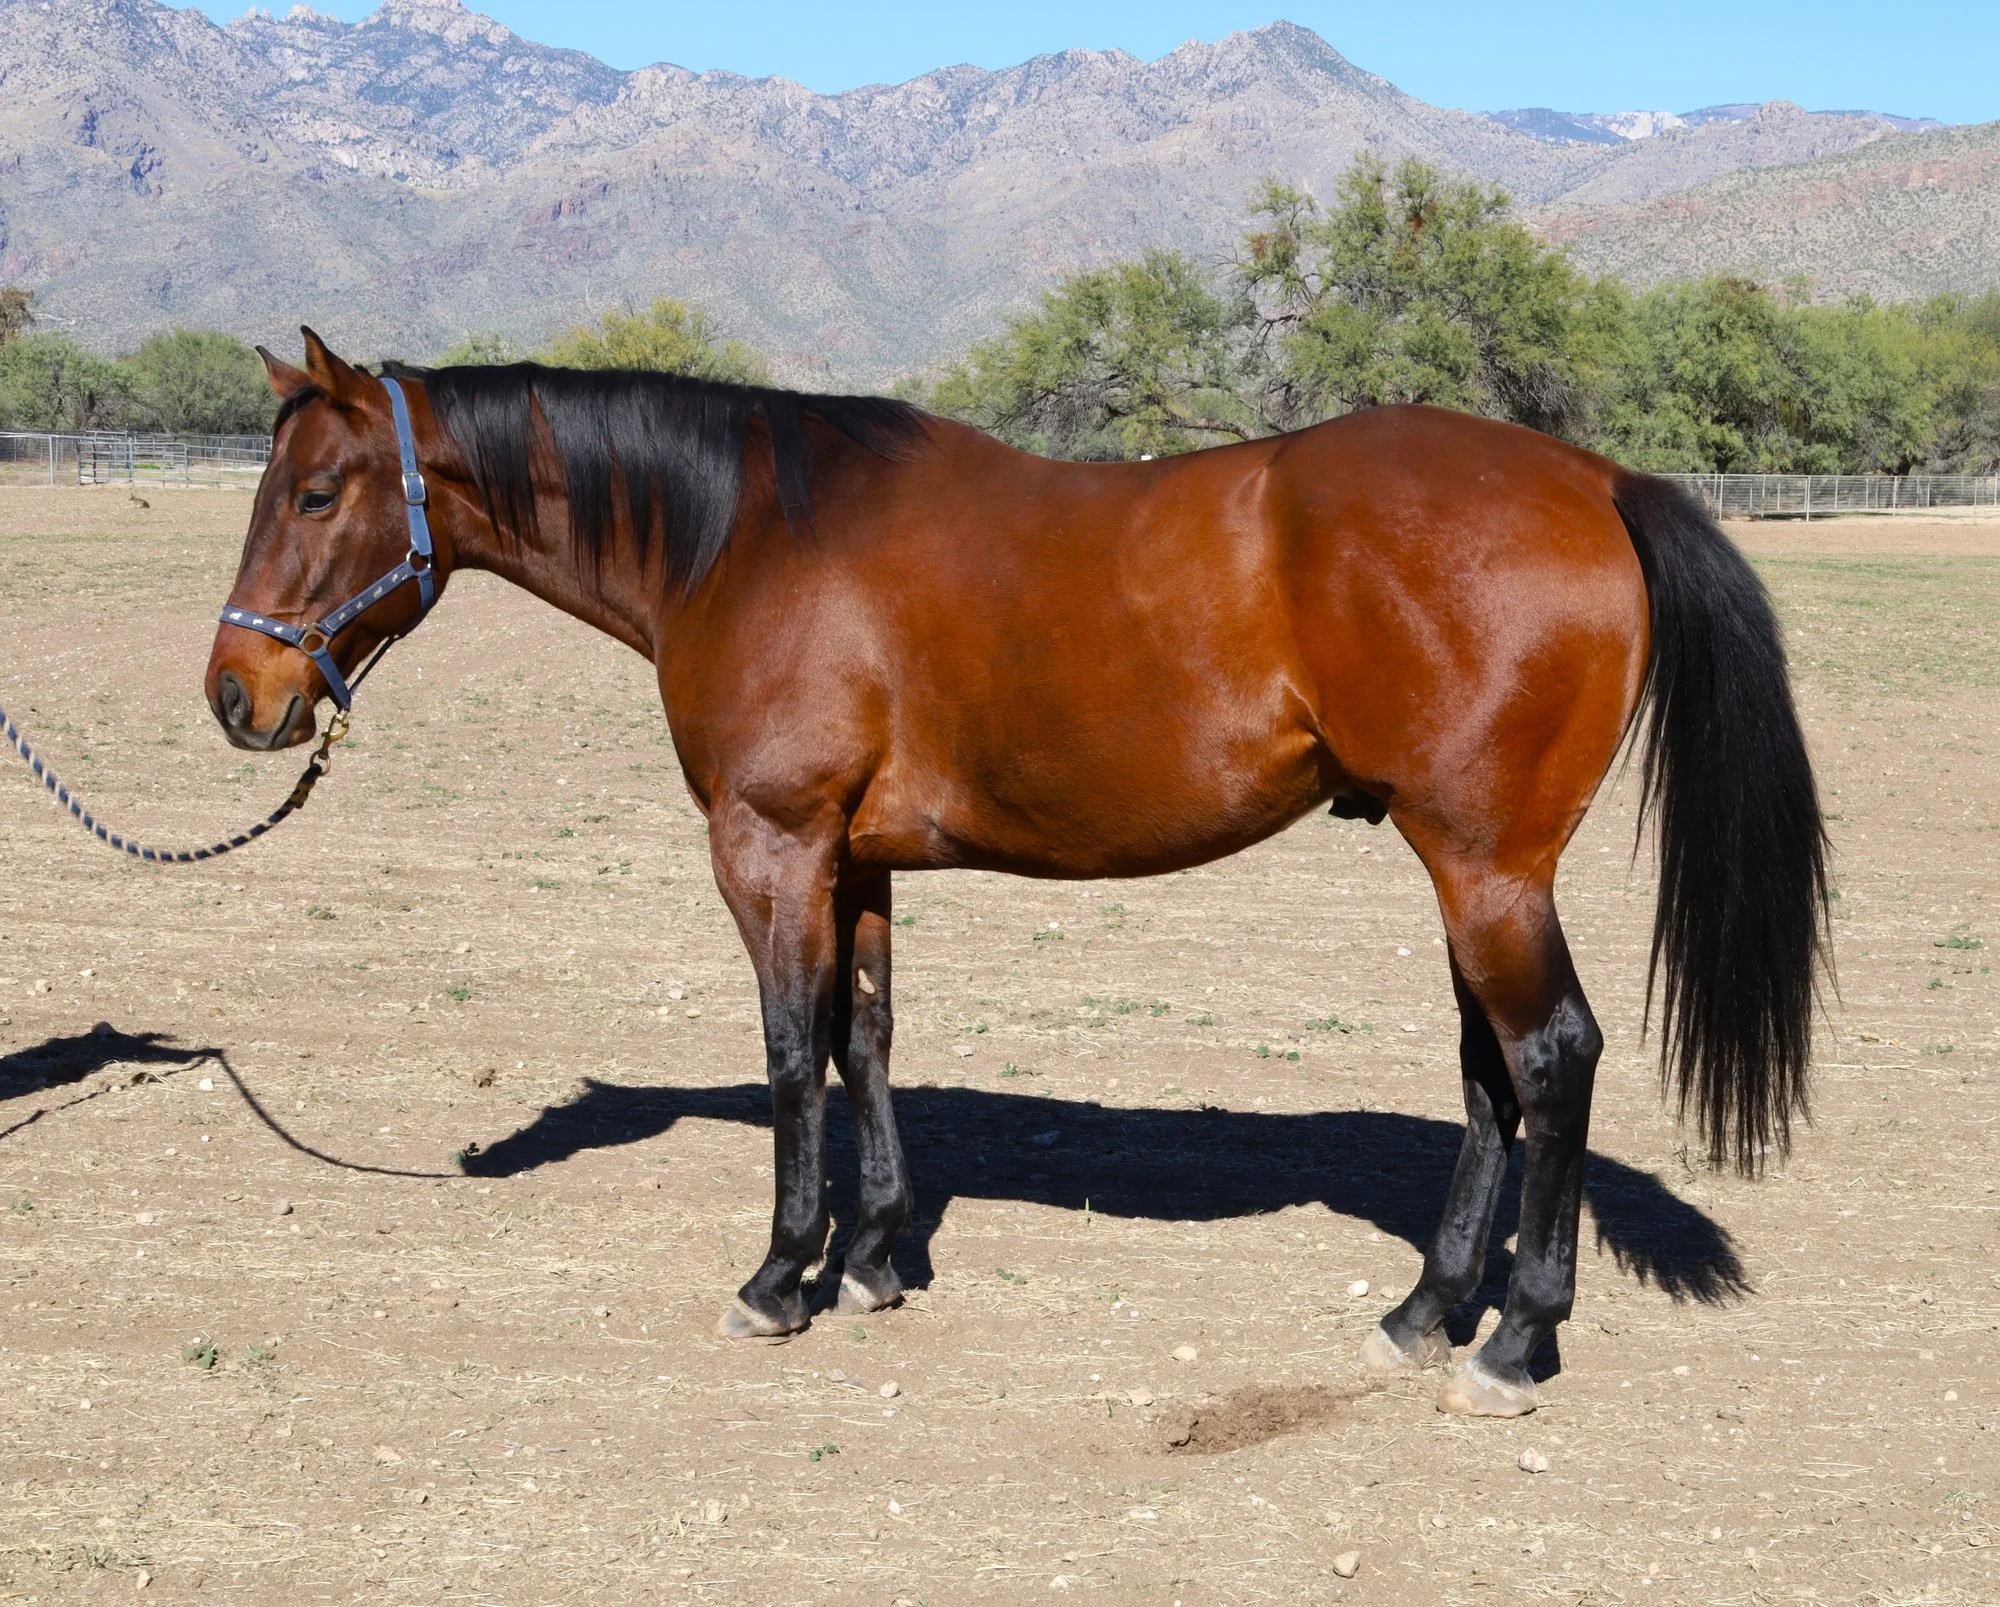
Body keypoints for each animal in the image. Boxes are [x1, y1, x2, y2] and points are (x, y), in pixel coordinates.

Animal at [207, 330, 1827, 1418]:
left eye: (319, 491)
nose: (238, 695)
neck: (745, 536)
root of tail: (1595, 479)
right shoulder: (855, 860)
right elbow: (863, 1039)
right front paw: (874, 1256)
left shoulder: (770, 843)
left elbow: (789, 1057)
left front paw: (779, 1277)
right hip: (1465, 870)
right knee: (1493, 1075)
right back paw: (1425, 1310)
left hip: (1486, 869)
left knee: (1549, 1058)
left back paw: (1511, 1340)